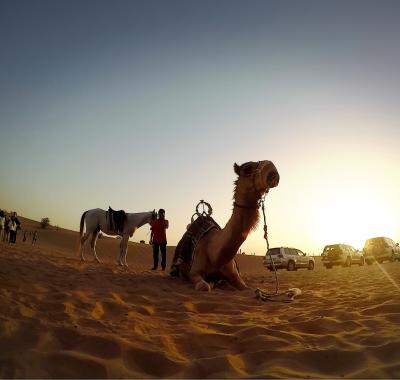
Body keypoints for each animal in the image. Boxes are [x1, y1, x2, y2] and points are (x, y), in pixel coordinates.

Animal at [173, 160, 282, 290]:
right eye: (247, 169)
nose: (271, 169)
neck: (215, 255)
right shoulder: (194, 272)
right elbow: (204, 286)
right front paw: (210, 284)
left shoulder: (234, 275)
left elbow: (247, 288)